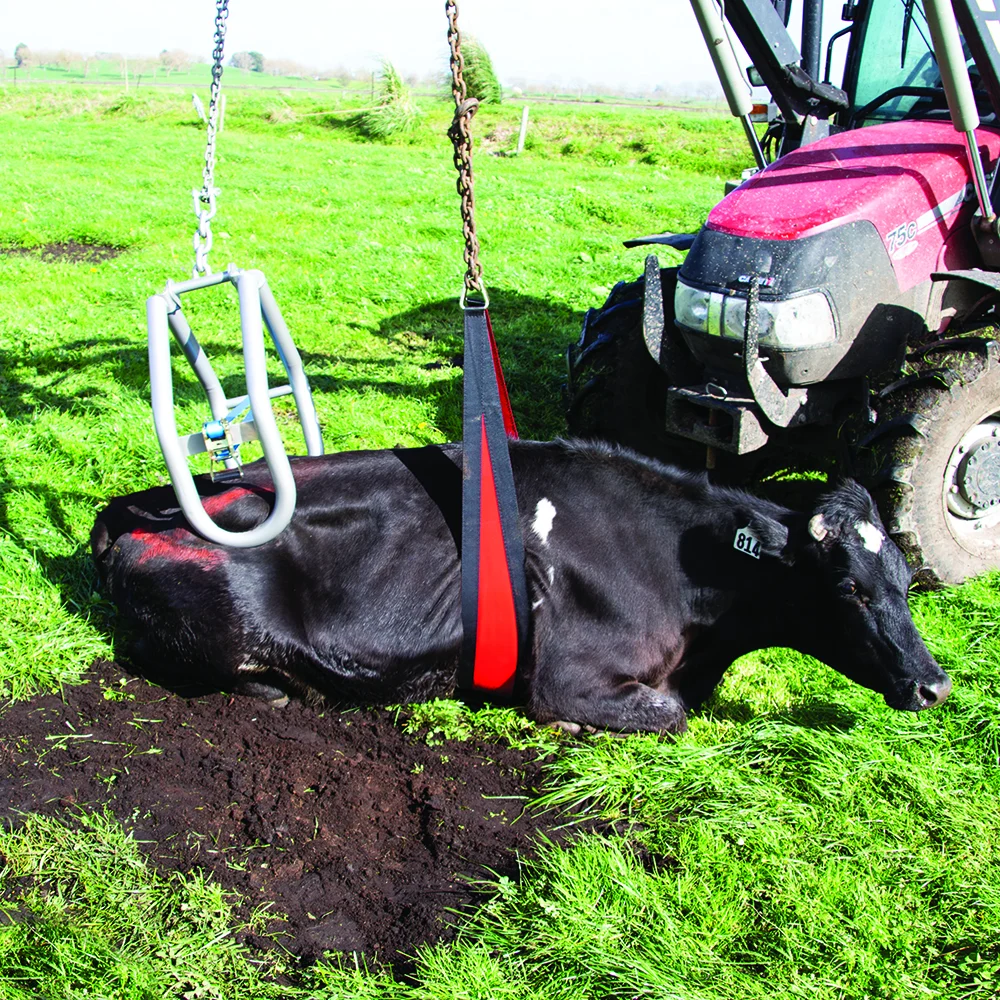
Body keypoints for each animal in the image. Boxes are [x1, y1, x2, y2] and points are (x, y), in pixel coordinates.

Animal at [90, 439, 951, 733]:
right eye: (850, 589)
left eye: (907, 582)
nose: (935, 685)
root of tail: (136, 507)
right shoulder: (568, 678)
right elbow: (668, 716)